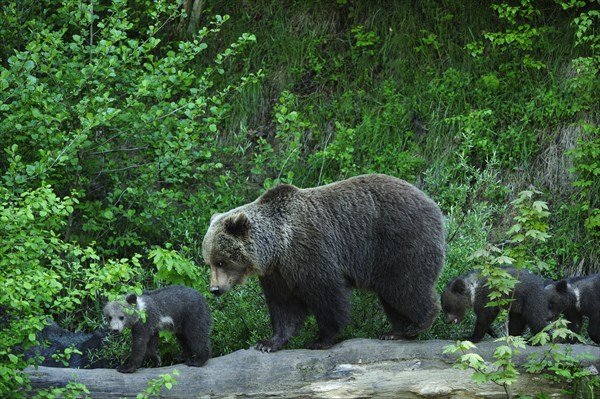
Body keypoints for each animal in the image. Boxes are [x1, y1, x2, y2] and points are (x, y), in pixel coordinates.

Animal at [204, 175, 442, 354]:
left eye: (221, 261)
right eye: (209, 262)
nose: (215, 289)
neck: (278, 248)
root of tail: (433, 205)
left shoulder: (310, 251)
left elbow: (326, 295)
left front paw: (320, 339)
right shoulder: (277, 274)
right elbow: (283, 306)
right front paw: (268, 342)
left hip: (398, 241)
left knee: (405, 285)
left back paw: (419, 323)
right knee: (392, 295)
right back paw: (395, 332)